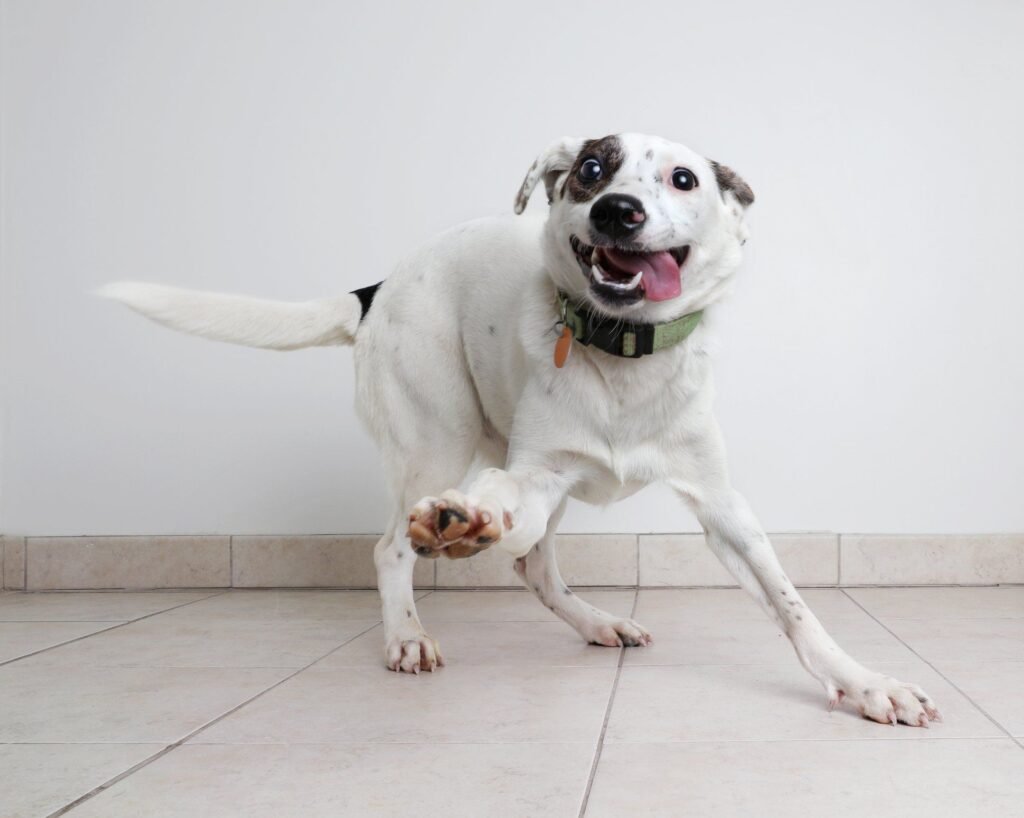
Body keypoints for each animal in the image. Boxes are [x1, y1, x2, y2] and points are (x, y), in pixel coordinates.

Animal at [105, 134, 942, 728]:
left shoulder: (722, 506)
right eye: (593, 168)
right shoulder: (535, 471)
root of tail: (379, 285)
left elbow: (795, 607)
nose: (616, 210)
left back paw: (594, 621)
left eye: (684, 180)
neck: (622, 353)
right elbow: (499, 507)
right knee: (396, 547)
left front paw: (866, 683)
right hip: (434, 435)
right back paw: (410, 627)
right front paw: (465, 520)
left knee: (534, 566)